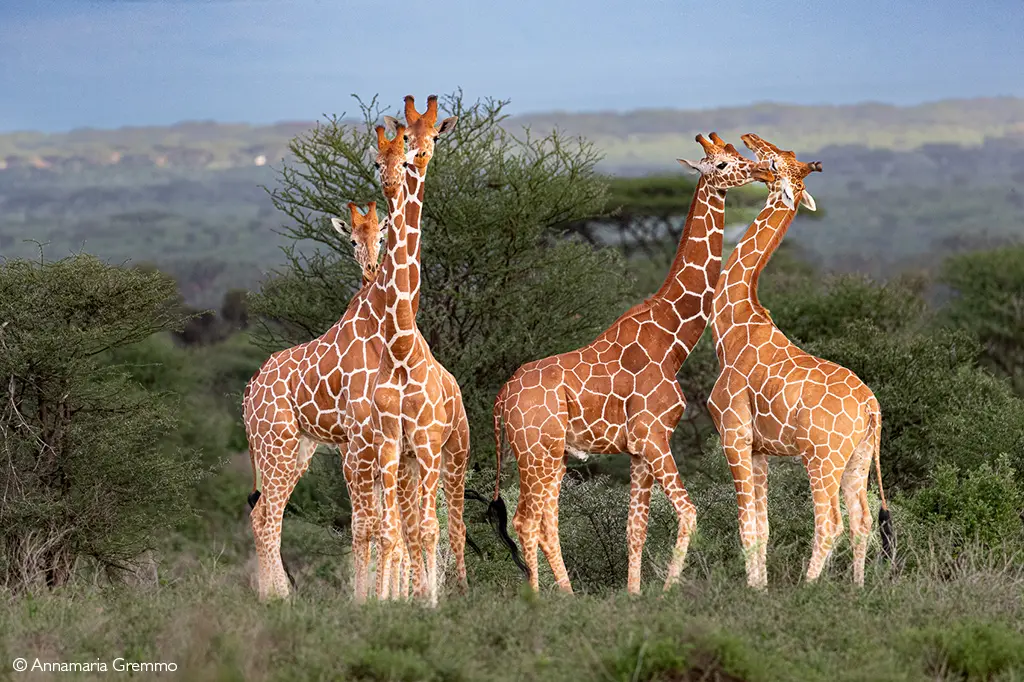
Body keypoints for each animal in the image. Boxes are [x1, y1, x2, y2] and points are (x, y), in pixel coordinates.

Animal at [242, 96, 466, 603]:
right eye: (379, 157)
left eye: (429, 138)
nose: (404, 170)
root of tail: (248, 392)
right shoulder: (364, 443)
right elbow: (375, 527)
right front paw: (373, 601)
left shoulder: (390, 446)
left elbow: (396, 528)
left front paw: (400, 600)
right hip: (277, 444)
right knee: (266, 517)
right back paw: (278, 598)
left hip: (304, 448)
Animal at [488, 133, 774, 594]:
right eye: (722, 164)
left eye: (738, 153)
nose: (763, 170)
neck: (672, 339)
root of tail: (501, 399)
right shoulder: (655, 437)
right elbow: (689, 511)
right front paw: (667, 589)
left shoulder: (639, 450)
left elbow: (634, 528)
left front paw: (635, 593)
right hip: (536, 451)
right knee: (525, 520)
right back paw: (539, 598)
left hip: (549, 455)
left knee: (545, 522)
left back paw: (568, 595)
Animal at [707, 132, 892, 589]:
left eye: (773, 162)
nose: (749, 140)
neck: (732, 328)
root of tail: (871, 408)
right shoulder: (760, 449)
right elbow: (763, 525)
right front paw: (760, 587)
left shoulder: (734, 435)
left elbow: (745, 524)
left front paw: (754, 590)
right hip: (859, 459)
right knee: (862, 521)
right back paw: (858, 589)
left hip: (822, 457)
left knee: (830, 522)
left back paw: (808, 589)